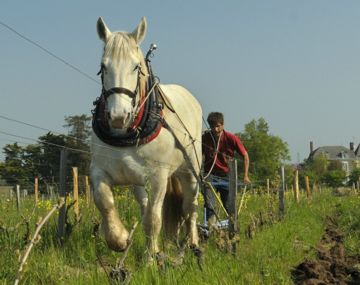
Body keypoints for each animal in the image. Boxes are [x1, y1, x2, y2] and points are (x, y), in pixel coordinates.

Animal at [90, 16, 202, 258]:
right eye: (103, 66)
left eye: (136, 67)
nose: (118, 116)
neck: (126, 134)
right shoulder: (99, 170)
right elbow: (104, 202)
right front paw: (119, 239)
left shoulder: (158, 177)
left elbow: (153, 219)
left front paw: (151, 258)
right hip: (138, 182)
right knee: (145, 206)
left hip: (190, 171)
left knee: (190, 208)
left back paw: (193, 243)